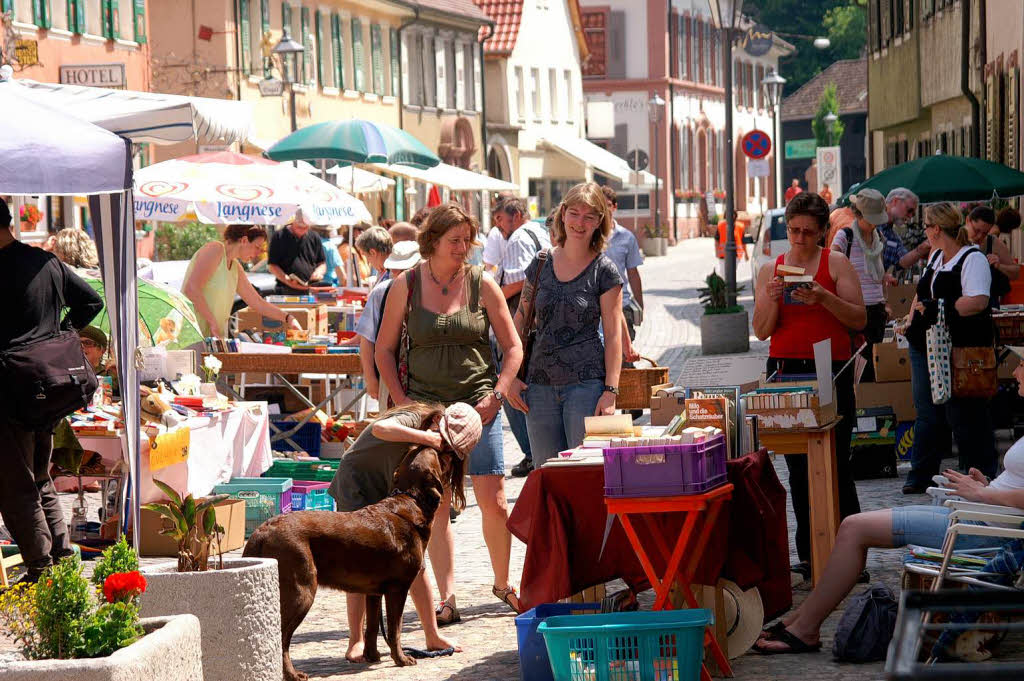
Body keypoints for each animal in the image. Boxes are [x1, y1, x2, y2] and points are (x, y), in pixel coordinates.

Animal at [241, 444, 462, 675]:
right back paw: (294, 675)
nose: (448, 448)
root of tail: (261, 531)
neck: (412, 499)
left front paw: (372, 657)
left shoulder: (374, 591)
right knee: (282, 637)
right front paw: (401, 659)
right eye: (436, 452)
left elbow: (372, 626)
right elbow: (395, 629)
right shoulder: (397, 588)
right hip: (301, 590)